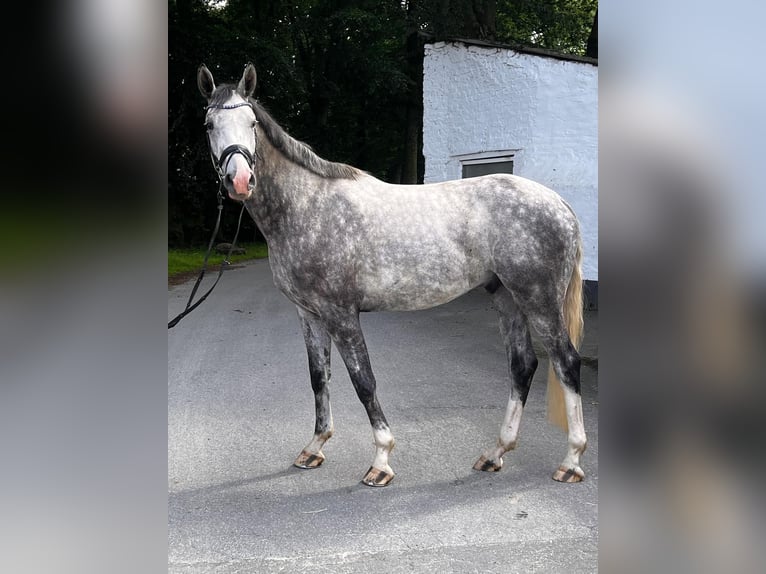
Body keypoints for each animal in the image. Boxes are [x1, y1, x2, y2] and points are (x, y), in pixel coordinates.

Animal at [196, 64, 588, 486]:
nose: (240, 181)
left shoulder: (341, 314)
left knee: (566, 362)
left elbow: (363, 381)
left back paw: (571, 461)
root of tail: (559, 203)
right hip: (507, 297)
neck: (307, 206)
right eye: (209, 124)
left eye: (251, 123)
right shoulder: (309, 314)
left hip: (539, 301)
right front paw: (314, 448)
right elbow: (319, 377)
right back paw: (495, 454)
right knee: (523, 366)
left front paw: (381, 461)